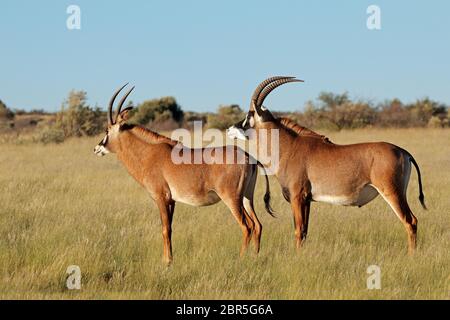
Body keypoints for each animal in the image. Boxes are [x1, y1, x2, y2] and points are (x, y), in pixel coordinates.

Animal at [93, 84, 272, 264]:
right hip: (247, 198)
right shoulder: (171, 201)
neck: (149, 153)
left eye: (107, 130)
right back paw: (254, 257)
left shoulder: (161, 199)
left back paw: (240, 259)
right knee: (257, 225)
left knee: (247, 227)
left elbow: (164, 229)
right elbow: (170, 229)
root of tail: (249, 157)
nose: (96, 149)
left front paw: (166, 262)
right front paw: (168, 259)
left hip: (232, 199)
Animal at [227, 76, 428, 254]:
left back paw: (411, 256)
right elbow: (305, 231)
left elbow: (298, 231)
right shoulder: (307, 200)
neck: (288, 147)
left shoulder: (297, 197)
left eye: (249, 115)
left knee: (410, 221)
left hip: (392, 192)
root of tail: (403, 151)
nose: (229, 129)